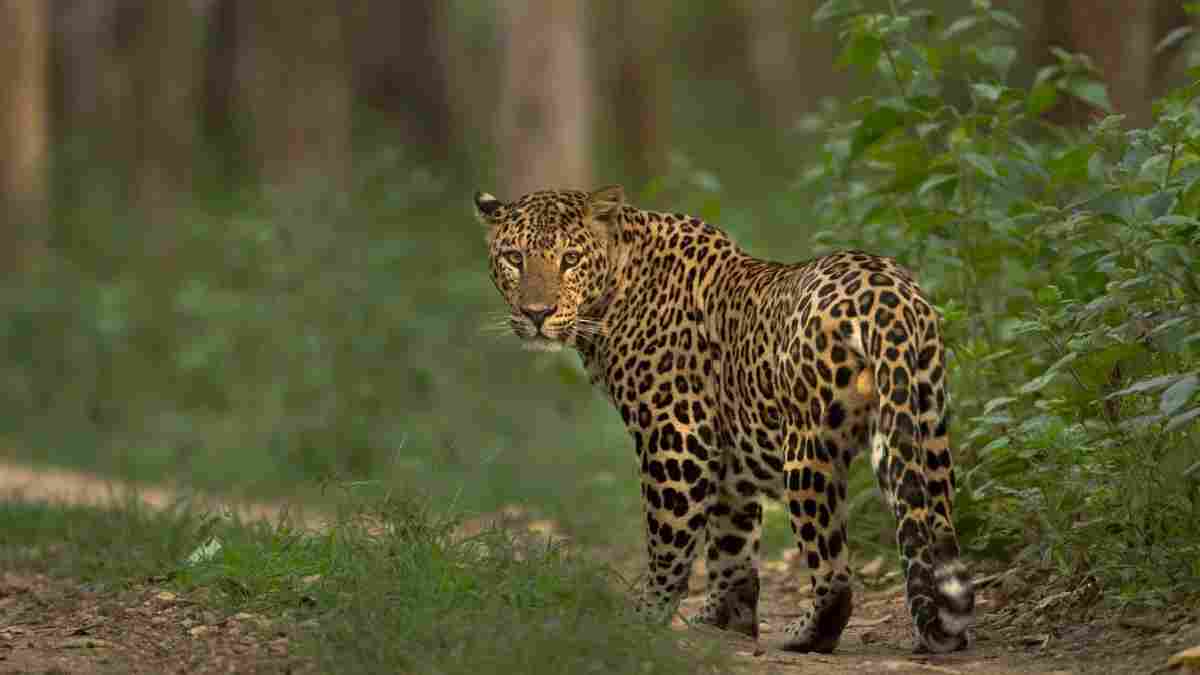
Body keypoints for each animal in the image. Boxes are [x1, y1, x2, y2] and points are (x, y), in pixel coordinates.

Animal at [475, 185, 974, 654]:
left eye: (570, 259)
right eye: (515, 258)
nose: (536, 314)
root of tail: (887, 297)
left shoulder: (677, 437)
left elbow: (669, 537)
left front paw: (645, 619)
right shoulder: (731, 454)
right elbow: (732, 541)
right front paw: (724, 621)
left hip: (809, 449)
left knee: (833, 570)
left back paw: (807, 635)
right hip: (923, 426)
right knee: (932, 525)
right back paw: (943, 632)